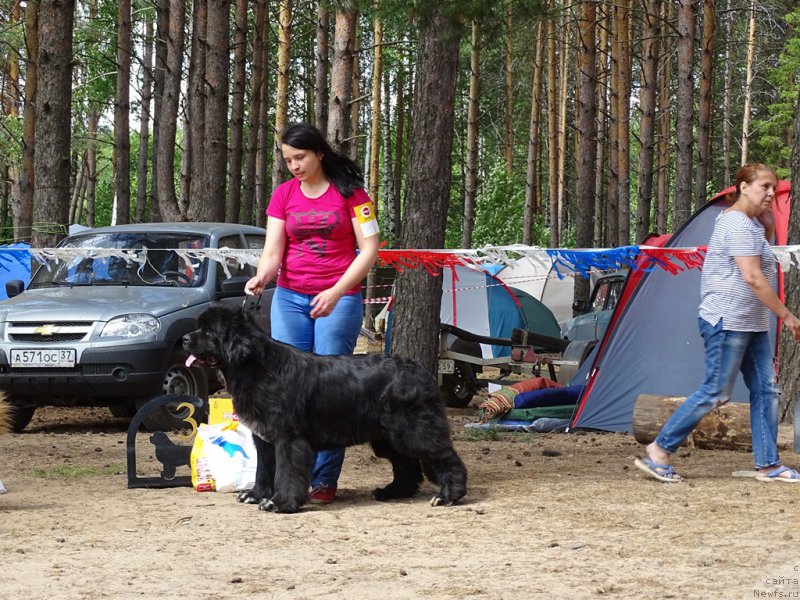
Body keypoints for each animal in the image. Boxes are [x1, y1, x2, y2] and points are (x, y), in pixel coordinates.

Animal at [184, 302, 466, 512]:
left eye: (208, 331)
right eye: (199, 328)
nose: (185, 339)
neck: (256, 367)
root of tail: (421, 371)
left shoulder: (289, 438)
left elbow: (286, 472)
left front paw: (280, 503)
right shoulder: (263, 439)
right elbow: (264, 469)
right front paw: (254, 495)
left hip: (413, 431)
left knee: (443, 457)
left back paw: (448, 496)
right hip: (387, 437)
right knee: (407, 466)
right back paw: (392, 492)